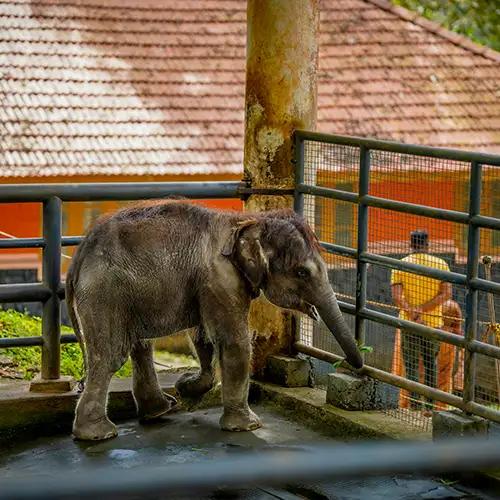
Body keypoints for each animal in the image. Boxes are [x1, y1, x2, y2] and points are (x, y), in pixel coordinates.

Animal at [67, 200, 364, 442]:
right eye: (302, 272)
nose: (356, 367)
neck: (248, 221)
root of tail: (78, 259)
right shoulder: (221, 279)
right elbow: (233, 341)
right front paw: (249, 426)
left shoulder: (206, 285)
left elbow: (203, 336)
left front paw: (187, 386)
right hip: (105, 295)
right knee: (110, 356)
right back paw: (99, 434)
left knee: (140, 345)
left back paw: (161, 410)